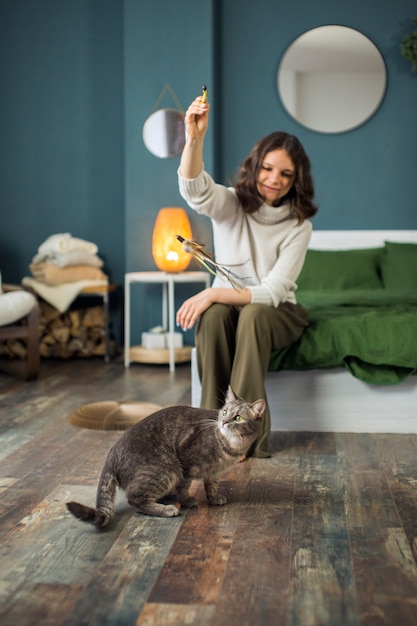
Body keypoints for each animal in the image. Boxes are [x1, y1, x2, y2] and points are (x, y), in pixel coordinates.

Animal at [66, 386, 264, 520]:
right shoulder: (187, 464)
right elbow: (185, 486)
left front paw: (214, 497)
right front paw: (186, 500)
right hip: (165, 469)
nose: (223, 422)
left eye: (238, 418)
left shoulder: (213, 471)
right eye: (224, 412)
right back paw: (166, 508)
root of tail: (110, 456)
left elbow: (211, 485)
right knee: (134, 498)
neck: (233, 444)